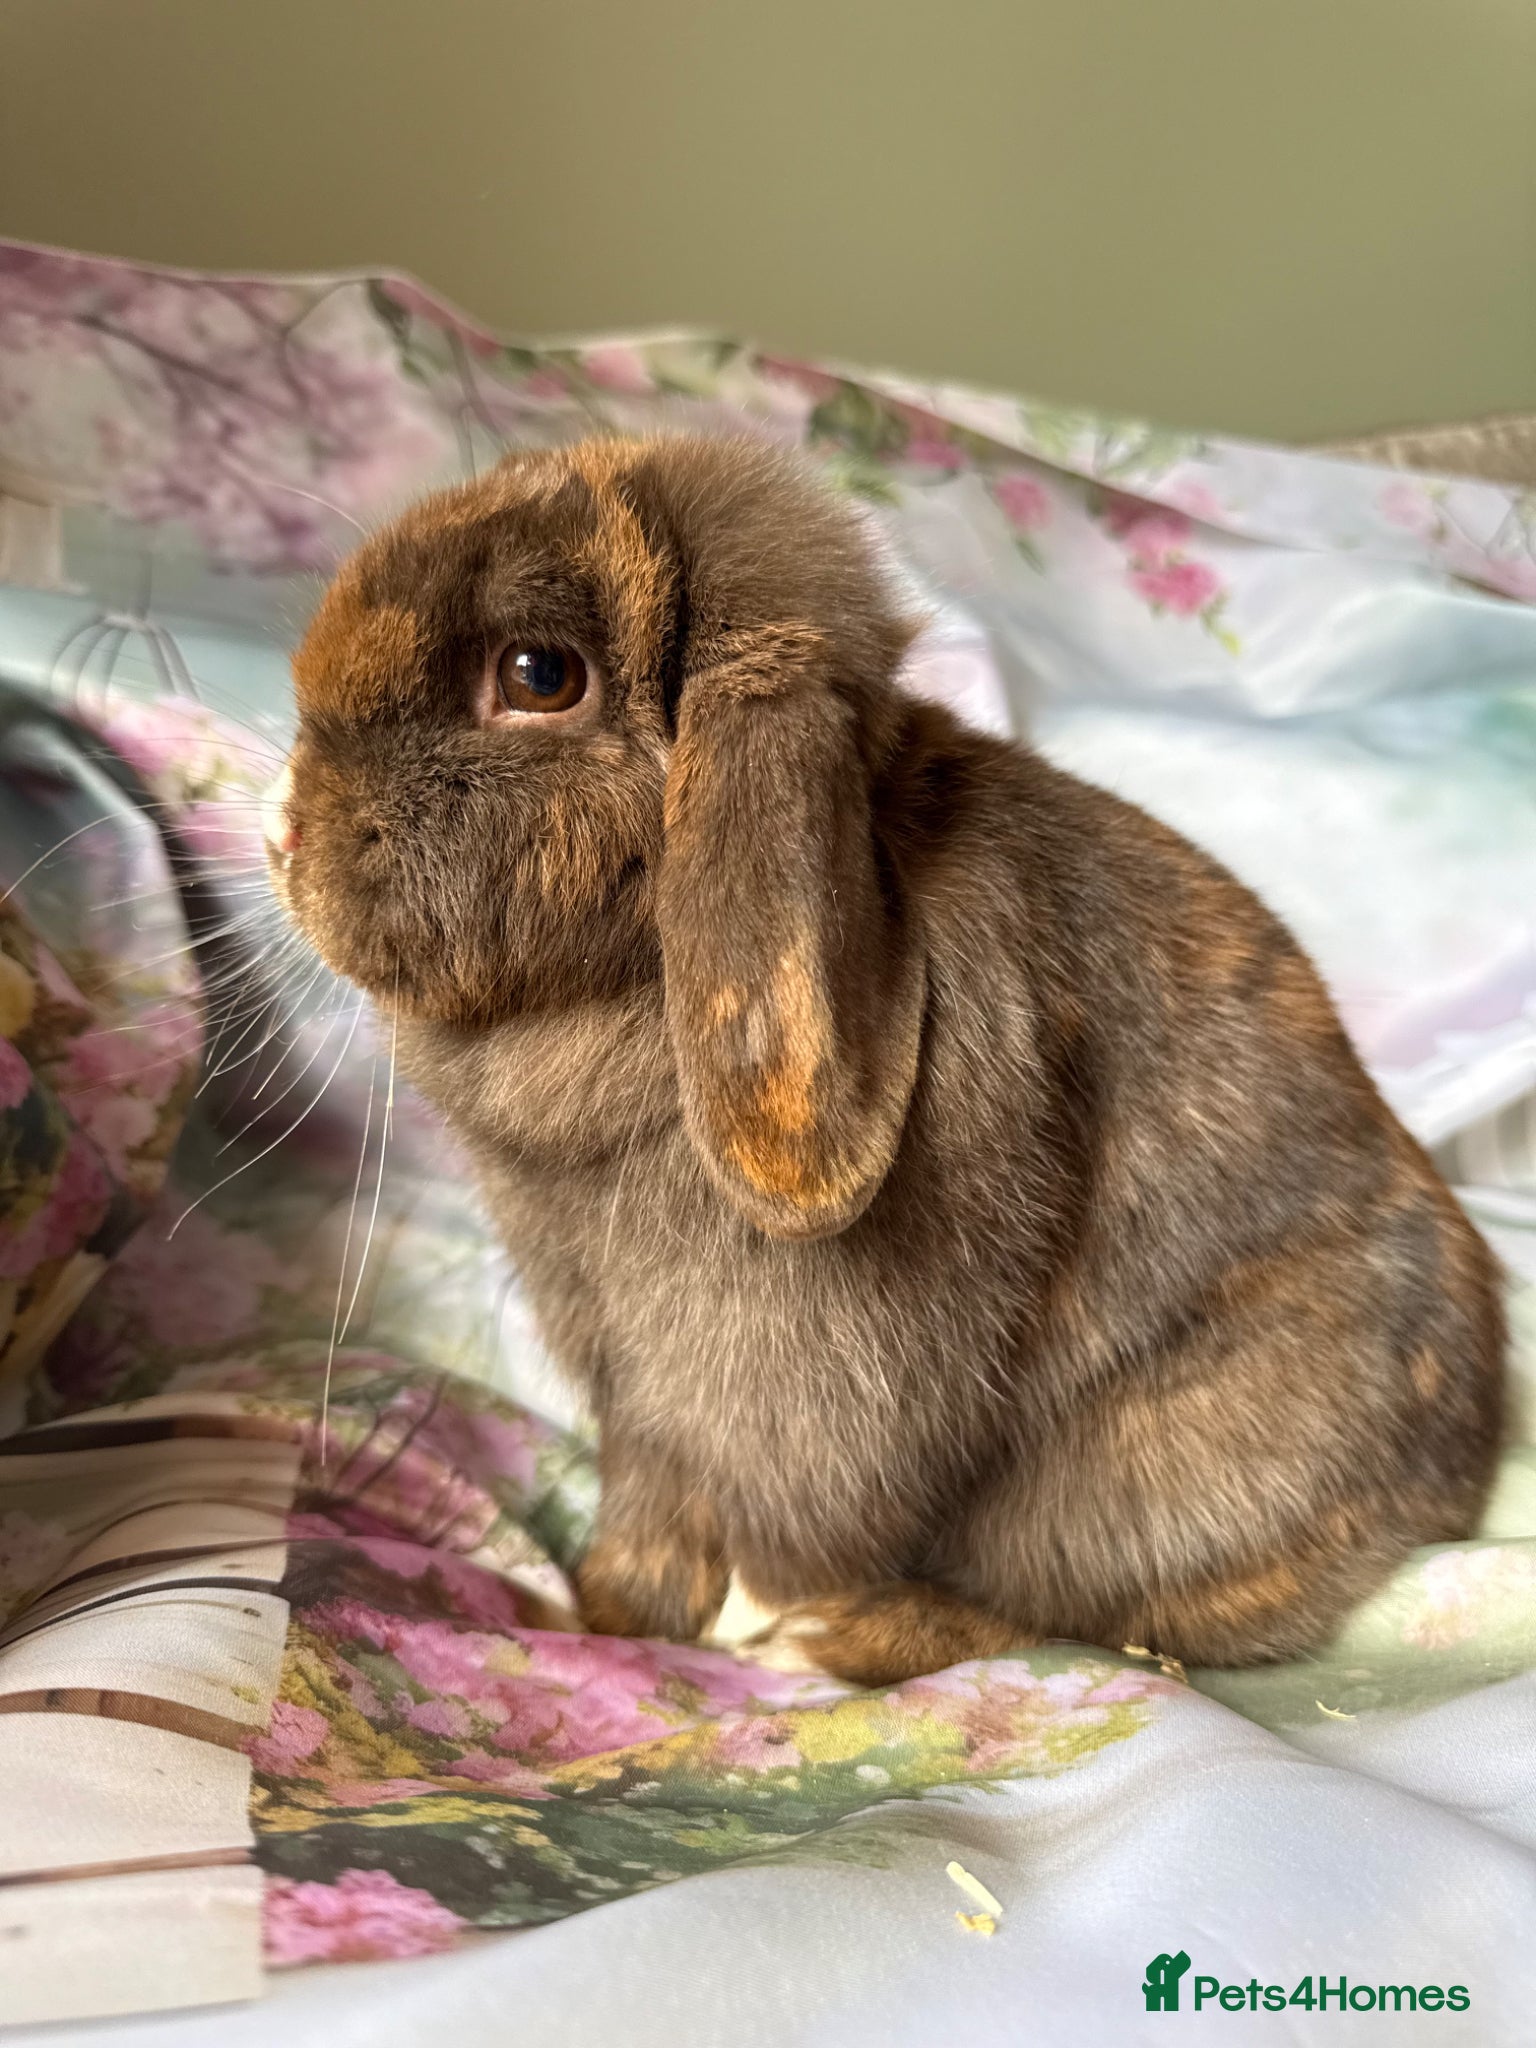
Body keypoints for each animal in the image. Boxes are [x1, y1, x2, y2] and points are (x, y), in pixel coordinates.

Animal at [267, 431, 1505, 1687]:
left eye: (537, 673)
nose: (282, 832)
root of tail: (1460, 1458)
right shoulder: (635, 1388)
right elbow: (651, 1504)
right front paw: (606, 1611)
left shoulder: (814, 1376)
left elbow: (804, 1514)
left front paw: (752, 1631)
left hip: (1150, 1475)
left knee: (1083, 1614)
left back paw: (831, 1638)